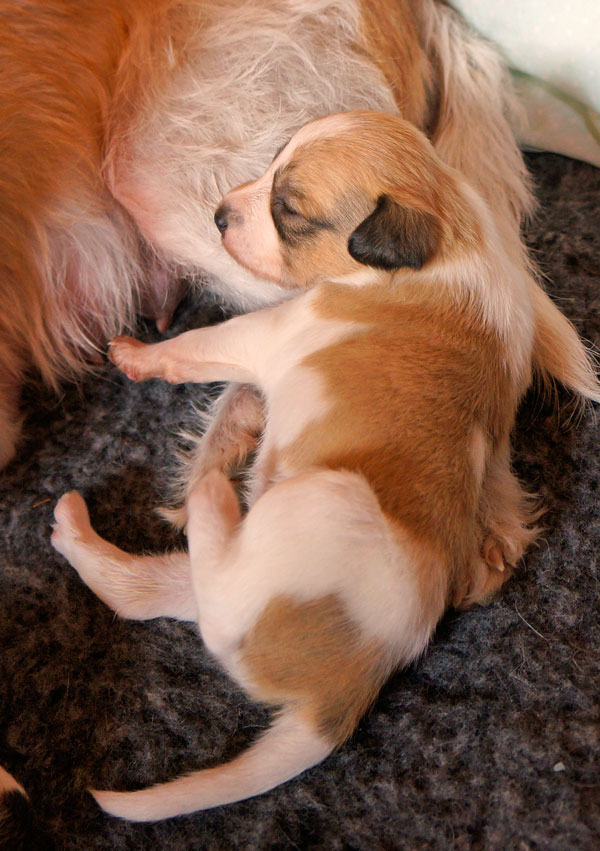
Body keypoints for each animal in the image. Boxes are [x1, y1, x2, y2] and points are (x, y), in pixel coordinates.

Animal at [50, 109, 566, 821]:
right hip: (256, 575)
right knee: (156, 594)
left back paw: (212, 494)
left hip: (325, 500)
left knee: (214, 608)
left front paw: (135, 353)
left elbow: (195, 344)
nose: (218, 215)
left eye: (289, 210)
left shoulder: (266, 331)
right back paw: (80, 524)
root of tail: (348, 689)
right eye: (271, 161)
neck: (446, 223)